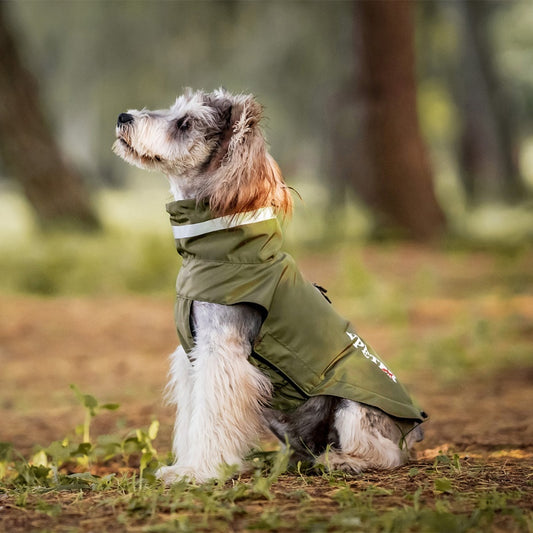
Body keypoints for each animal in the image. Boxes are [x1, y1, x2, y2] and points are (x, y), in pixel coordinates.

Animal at [114, 89, 426, 484]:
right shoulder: (192, 357)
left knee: (385, 452)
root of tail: (414, 432)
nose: (123, 117)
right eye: (174, 110)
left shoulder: (222, 354)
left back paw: (342, 460)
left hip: (354, 406)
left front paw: (198, 472)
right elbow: (191, 419)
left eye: (185, 123)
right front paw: (186, 465)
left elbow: (211, 418)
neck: (228, 251)